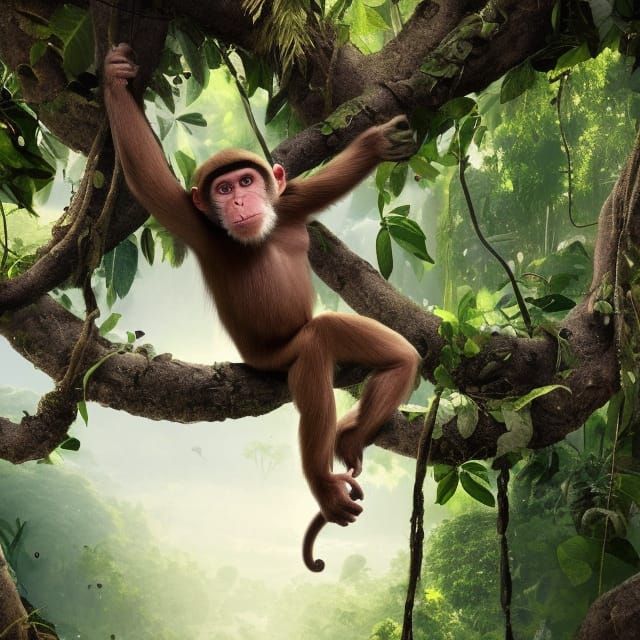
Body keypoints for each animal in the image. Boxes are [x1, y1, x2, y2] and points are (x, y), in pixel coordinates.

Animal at [103, 43, 422, 570]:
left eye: (247, 180)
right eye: (223, 188)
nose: (240, 201)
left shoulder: (289, 203)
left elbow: (322, 186)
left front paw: (378, 143)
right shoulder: (194, 224)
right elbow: (146, 178)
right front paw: (113, 79)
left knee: (399, 354)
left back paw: (351, 438)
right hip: (271, 358)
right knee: (315, 348)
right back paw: (323, 484)